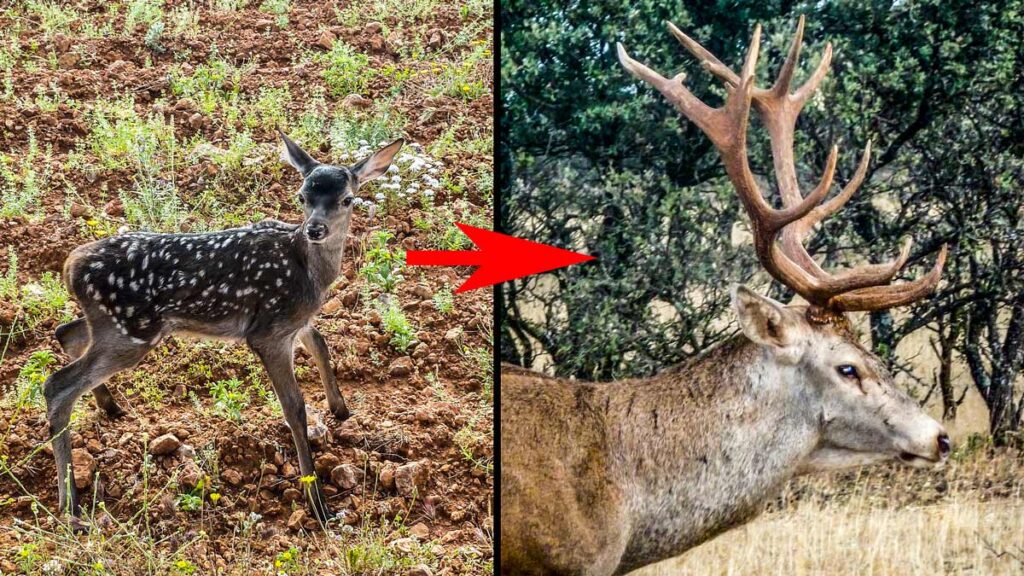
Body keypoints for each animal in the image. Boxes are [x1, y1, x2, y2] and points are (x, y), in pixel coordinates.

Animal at [43, 132, 403, 526]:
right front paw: (318, 503)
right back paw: (70, 504)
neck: (309, 272)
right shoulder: (267, 332)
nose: (315, 229)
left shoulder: (294, 320)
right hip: (131, 332)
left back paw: (110, 407)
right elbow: (295, 408)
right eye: (302, 196)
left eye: (347, 198)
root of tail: (70, 266)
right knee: (57, 385)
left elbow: (320, 342)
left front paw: (342, 410)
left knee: (67, 333)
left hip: (116, 325)